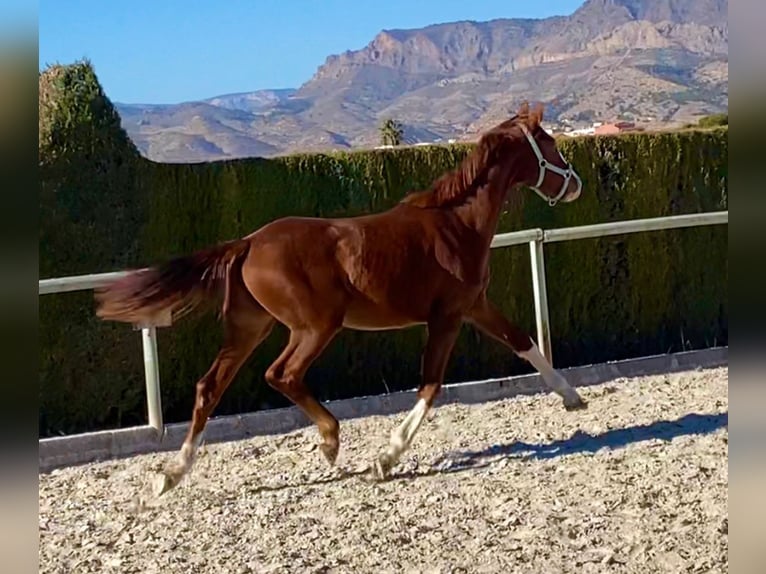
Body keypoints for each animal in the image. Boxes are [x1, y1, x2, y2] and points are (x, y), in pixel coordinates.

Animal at [96, 102, 588, 496]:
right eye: (550, 145)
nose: (576, 184)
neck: (455, 224)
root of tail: (248, 243)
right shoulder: (447, 316)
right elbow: (431, 385)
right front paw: (385, 460)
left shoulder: (475, 306)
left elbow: (523, 341)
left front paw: (573, 398)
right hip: (315, 325)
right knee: (282, 374)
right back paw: (330, 440)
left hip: (251, 326)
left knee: (210, 387)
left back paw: (170, 475)